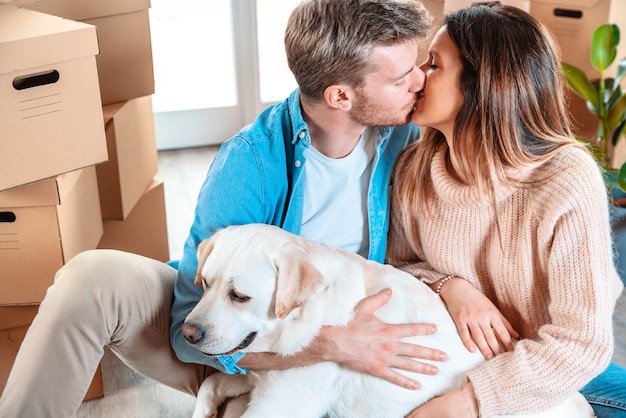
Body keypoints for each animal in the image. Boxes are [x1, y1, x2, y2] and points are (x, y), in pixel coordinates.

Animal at [183, 225, 592, 418]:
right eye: (204, 283)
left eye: (239, 296)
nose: (188, 333)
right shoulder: (259, 377)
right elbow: (212, 384)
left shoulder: (281, 405)